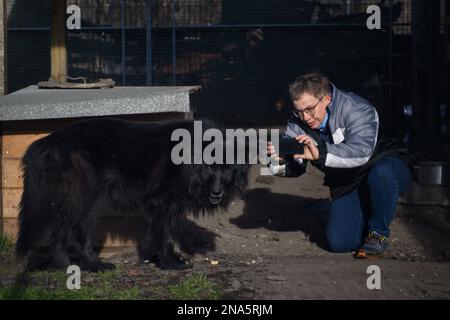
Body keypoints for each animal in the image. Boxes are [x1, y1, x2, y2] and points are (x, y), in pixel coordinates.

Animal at [16, 119, 250, 272]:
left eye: (228, 168)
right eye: (210, 167)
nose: (217, 192)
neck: (188, 158)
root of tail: (48, 141)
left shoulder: (168, 207)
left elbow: (165, 234)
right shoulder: (162, 203)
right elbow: (165, 236)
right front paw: (171, 264)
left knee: (59, 236)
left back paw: (67, 268)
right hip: (90, 201)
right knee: (77, 236)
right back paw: (96, 265)